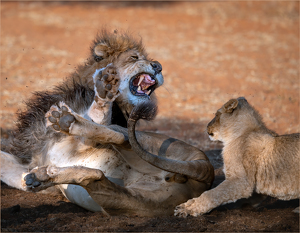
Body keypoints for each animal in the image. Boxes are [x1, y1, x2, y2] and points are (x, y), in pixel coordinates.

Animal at [1, 29, 214, 217]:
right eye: (134, 57)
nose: (158, 66)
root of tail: (205, 171)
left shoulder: (83, 141)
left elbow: (96, 117)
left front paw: (104, 91)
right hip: (134, 201)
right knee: (95, 176)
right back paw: (42, 177)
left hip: (130, 137)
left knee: (119, 138)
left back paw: (69, 119)